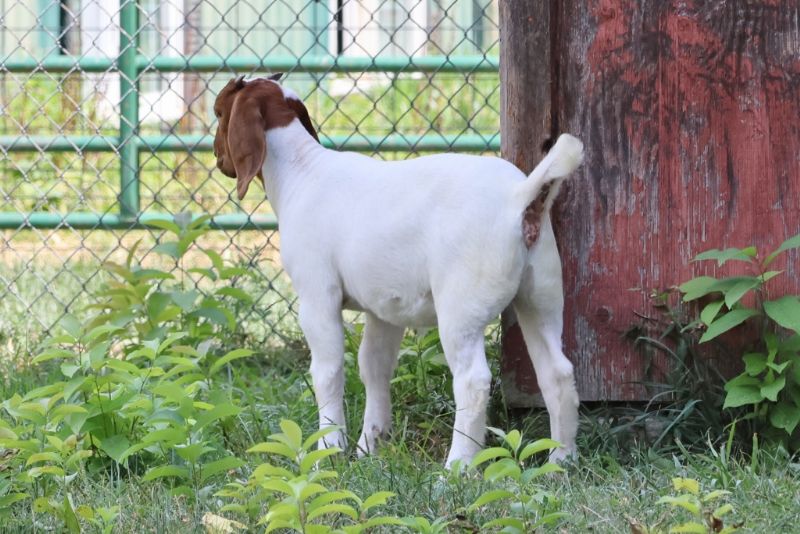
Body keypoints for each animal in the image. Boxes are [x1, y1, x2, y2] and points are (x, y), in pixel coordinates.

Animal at [213, 75, 583, 466]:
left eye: (219, 111)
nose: (218, 157)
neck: (302, 170)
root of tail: (519, 196)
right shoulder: (383, 310)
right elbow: (374, 367)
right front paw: (369, 446)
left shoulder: (316, 296)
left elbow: (328, 372)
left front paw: (329, 449)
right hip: (541, 293)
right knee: (557, 373)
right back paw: (560, 460)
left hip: (461, 306)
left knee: (473, 381)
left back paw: (457, 466)